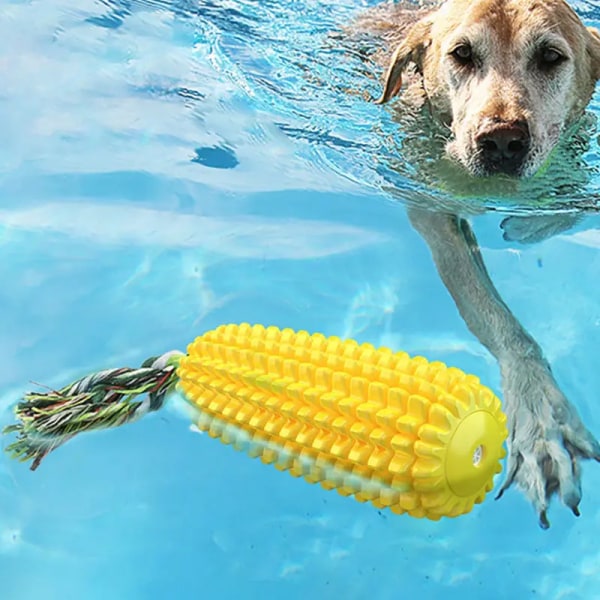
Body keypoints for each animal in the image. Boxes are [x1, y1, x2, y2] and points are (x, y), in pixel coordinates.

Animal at [360, 0, 600, 524]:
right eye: (462, 54)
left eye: (550, 57)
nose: (502, 141)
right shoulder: (430, 205)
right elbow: (494, 316)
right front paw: (538, 414)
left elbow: (575, 204)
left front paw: (530, 225)